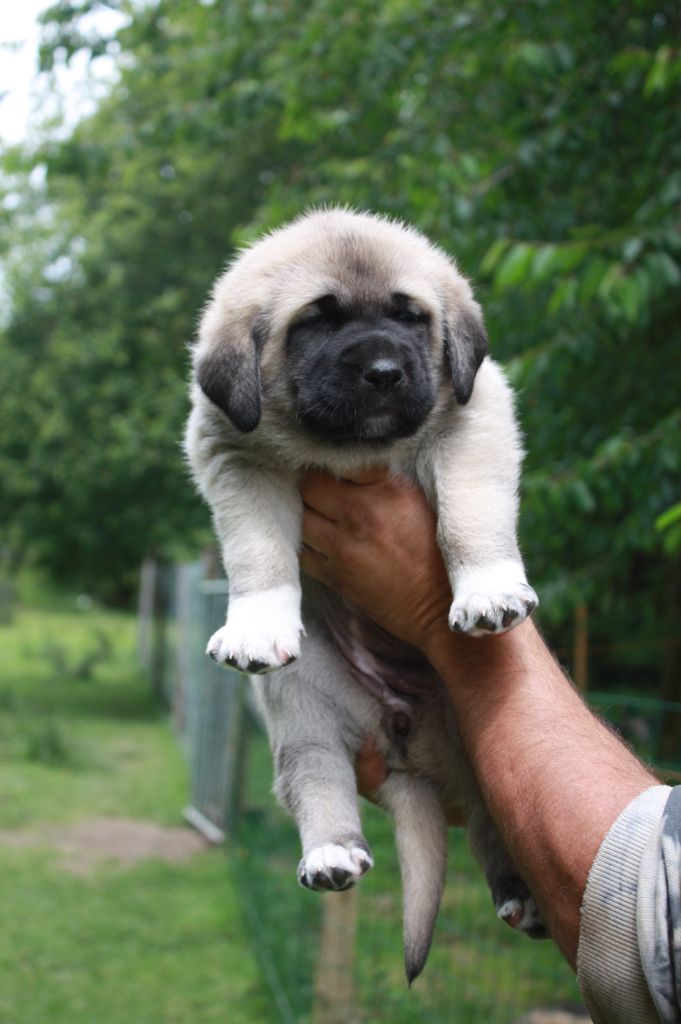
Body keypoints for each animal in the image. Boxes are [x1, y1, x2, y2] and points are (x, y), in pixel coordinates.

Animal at [184, 209, 540, 983]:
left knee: (495, 822)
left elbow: (471, 512)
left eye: (411, 318)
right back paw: (330, 854)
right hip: (304, 707)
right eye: (316, 322)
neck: (351, 450)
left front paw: (488, 584)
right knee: (317, 776)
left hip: (486, 739)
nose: (383, 372)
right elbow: (256, 550)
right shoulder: (234, 455)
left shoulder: (474, 417)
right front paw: (255, 622)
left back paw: (520, 892)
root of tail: (408, 740)